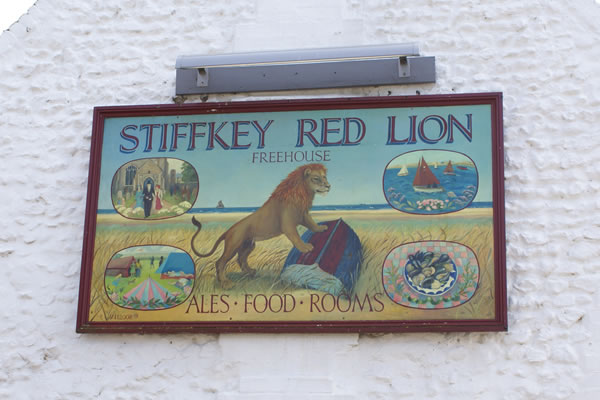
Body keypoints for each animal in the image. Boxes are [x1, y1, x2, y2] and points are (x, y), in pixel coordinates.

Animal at [191, 162, 330, 288]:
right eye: (316, 178)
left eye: (325, 177)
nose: (329, 186)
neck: (303, 192)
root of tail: (228, 230)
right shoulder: (287, 224)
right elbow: (296, 237)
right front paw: (305, 247)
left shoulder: (303, 215)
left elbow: (312, 224)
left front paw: (321, 228)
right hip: (233, 245)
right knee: (220, 262)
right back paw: (226, 283)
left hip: (248, 245)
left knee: (241, 259)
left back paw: (251, 272)